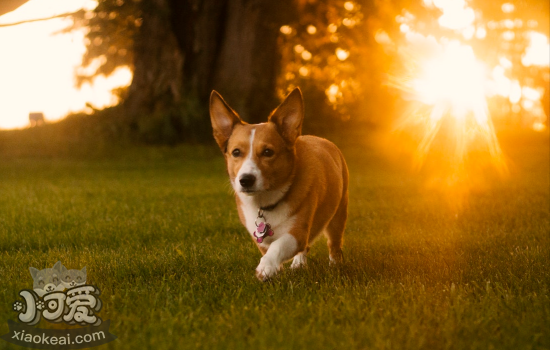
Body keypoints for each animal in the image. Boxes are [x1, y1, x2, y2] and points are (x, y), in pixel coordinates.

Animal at [211, 88, 350, 282]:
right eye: (236, 152)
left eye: (268, 152)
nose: (246, 180)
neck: (266, 203)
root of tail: (321, 139)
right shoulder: (260, 238)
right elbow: (270, 248)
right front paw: (276, 270)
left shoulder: (297, 233)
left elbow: (278, 246)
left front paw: (266, 267)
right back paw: (298, 264)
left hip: (338, 215)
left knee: (334, 243)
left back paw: (335, 265)